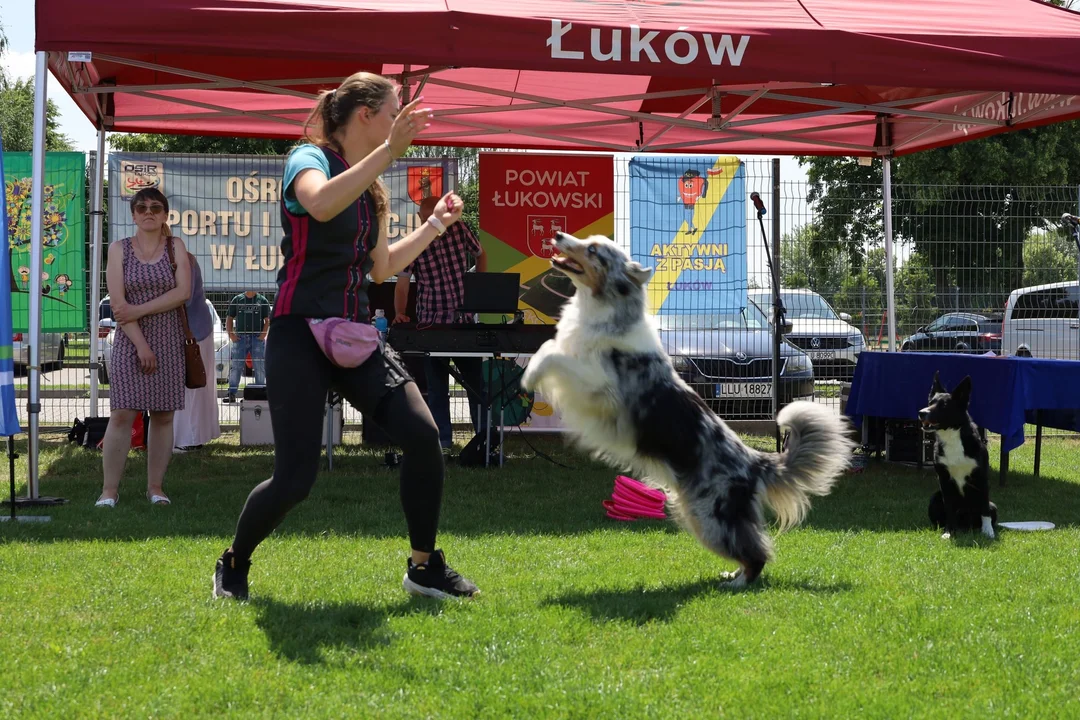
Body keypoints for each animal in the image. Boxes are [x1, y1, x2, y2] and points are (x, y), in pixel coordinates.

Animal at [518, 234, 855, 587]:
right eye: (587, 242)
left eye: (594, 249)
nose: (558, 236)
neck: (606, 311)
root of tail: (754, 461)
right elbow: (548, 346)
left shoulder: (599, 387)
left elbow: (553, 356)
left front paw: (528, 378)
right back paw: (732, 574)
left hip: (710, 514)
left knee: (757, 550)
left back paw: (738, 582)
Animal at [915, 375, 997, 537]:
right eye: (930, 403)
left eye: (944, 405)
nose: (922, 413)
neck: (952, 436)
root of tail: (965, 524)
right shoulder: (944, 479)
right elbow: (949, 509)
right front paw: (948, 532)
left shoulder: (981, 477)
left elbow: (985, 510)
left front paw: (988, 531)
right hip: (934, 499)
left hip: (993, 506)